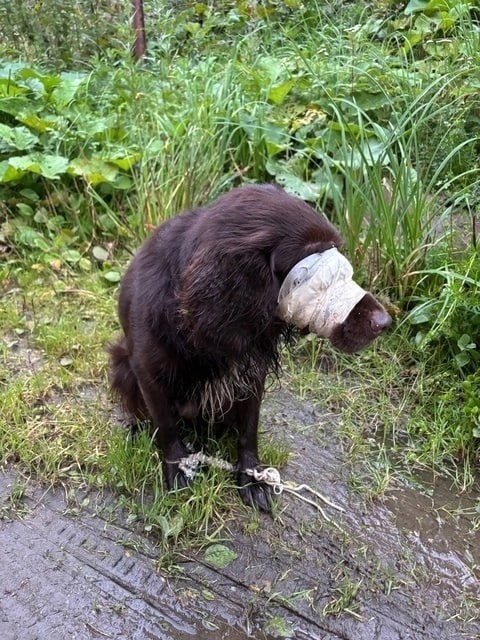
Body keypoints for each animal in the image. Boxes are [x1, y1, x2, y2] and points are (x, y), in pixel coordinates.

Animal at [109, 184, 390, 510]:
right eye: (310, 262)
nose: (385, 322)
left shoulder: (251, 375)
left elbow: (248, 429)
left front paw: (251, 475)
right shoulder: (147, 372)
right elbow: (166, 425)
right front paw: (178, 466)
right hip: (121, 365)